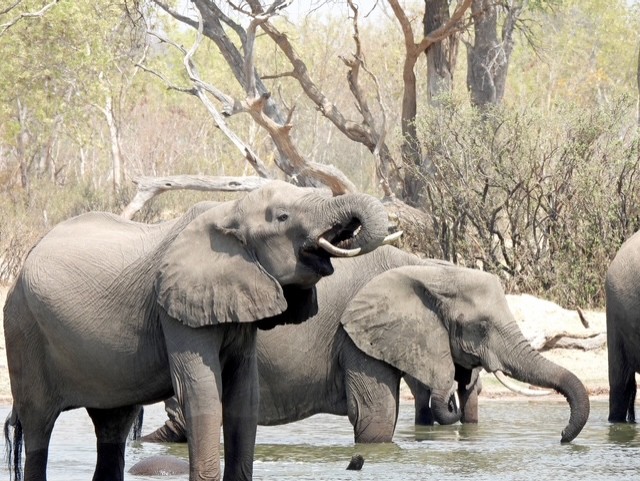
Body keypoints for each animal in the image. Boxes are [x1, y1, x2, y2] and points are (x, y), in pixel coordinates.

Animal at [2, 180, 396, 481]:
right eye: (283, 217)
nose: (344, 231)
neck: (230, 211)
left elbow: (244, 395)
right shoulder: (175, 308)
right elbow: (201, 392)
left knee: (112, 426)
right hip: (22, 327)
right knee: (38, 426)